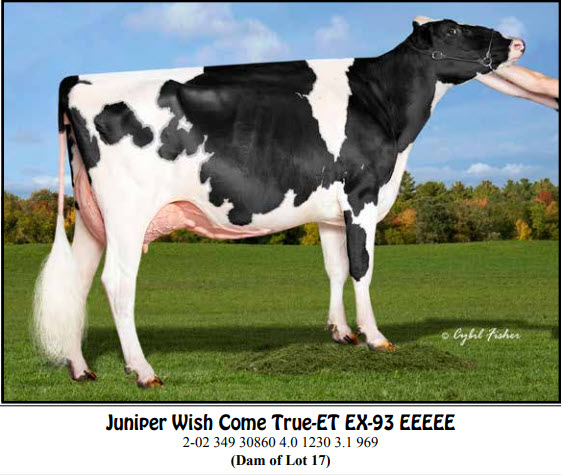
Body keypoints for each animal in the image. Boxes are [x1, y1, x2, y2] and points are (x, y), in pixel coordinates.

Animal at [34, 16, 525, 387]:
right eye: (455, 30)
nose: (514, 41)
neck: (382, 105)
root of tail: (78, 79)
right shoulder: (362, 195)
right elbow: (362, 268)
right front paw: (375, 337)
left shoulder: (330, 212)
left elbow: (335, 267)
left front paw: (341, 332)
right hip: (127, 213)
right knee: (117, 283)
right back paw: (142, 371)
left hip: (92, 218)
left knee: (79, 281)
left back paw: (81, 369)